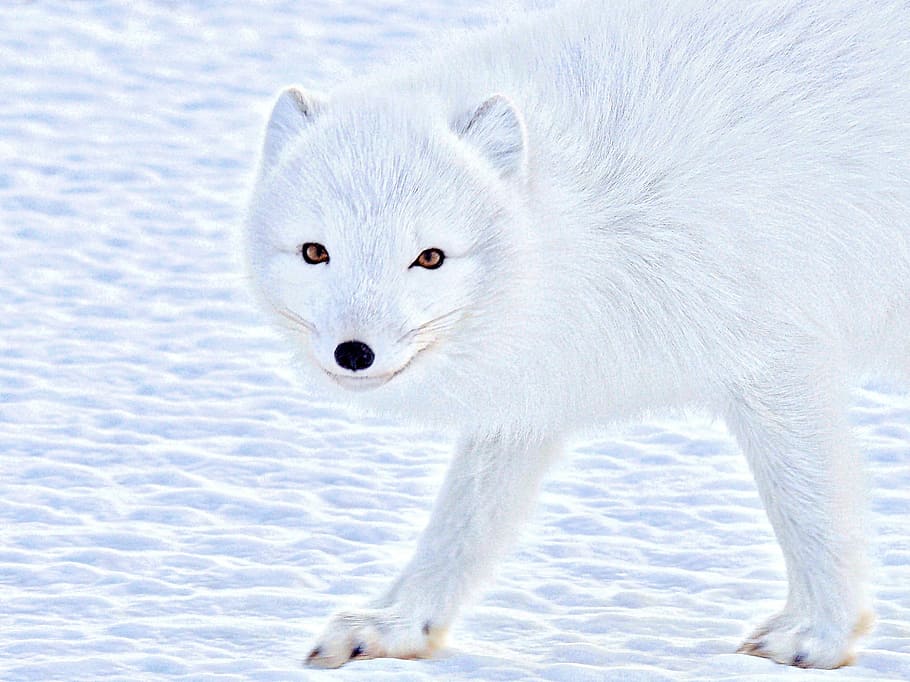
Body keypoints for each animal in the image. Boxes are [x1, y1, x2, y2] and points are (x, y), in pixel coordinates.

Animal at [243, 0, 910, 669]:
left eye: (429, 258)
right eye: (315, 252)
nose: (354, 352)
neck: (589, 214)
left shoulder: (773, 361)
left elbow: (808, 509)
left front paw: (819, 636)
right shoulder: (534, 390)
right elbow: (460, 526)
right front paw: (397, 625)